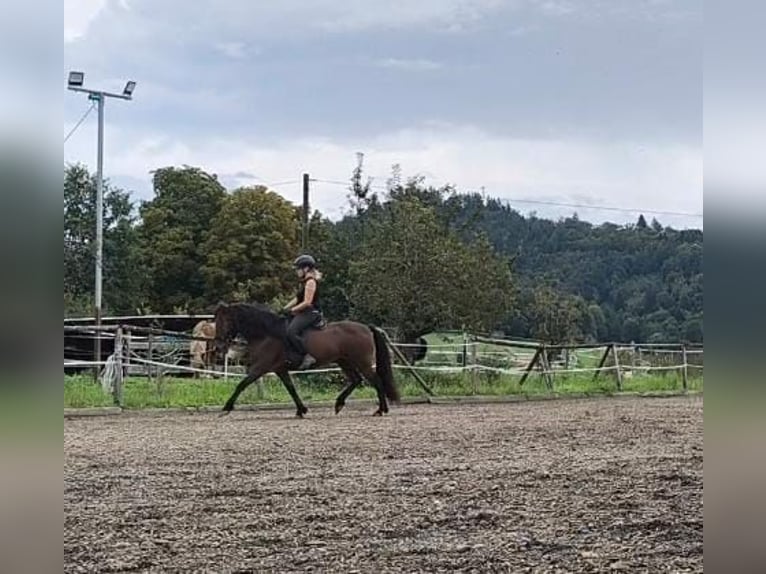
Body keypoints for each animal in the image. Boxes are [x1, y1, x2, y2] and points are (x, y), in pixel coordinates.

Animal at [212, 302, 400, 418]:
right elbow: (291, 389)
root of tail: (366, 327)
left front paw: (226, 409)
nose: (219, 346)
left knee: (376, 381)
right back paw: (339, 404)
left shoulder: (260, 367)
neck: (266, 334)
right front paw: (301, 410)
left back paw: (381, 410)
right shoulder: (280, 369)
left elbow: (241, 384)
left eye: (225, 320)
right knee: (356, 380)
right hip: (344, 362)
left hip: (362, 362)